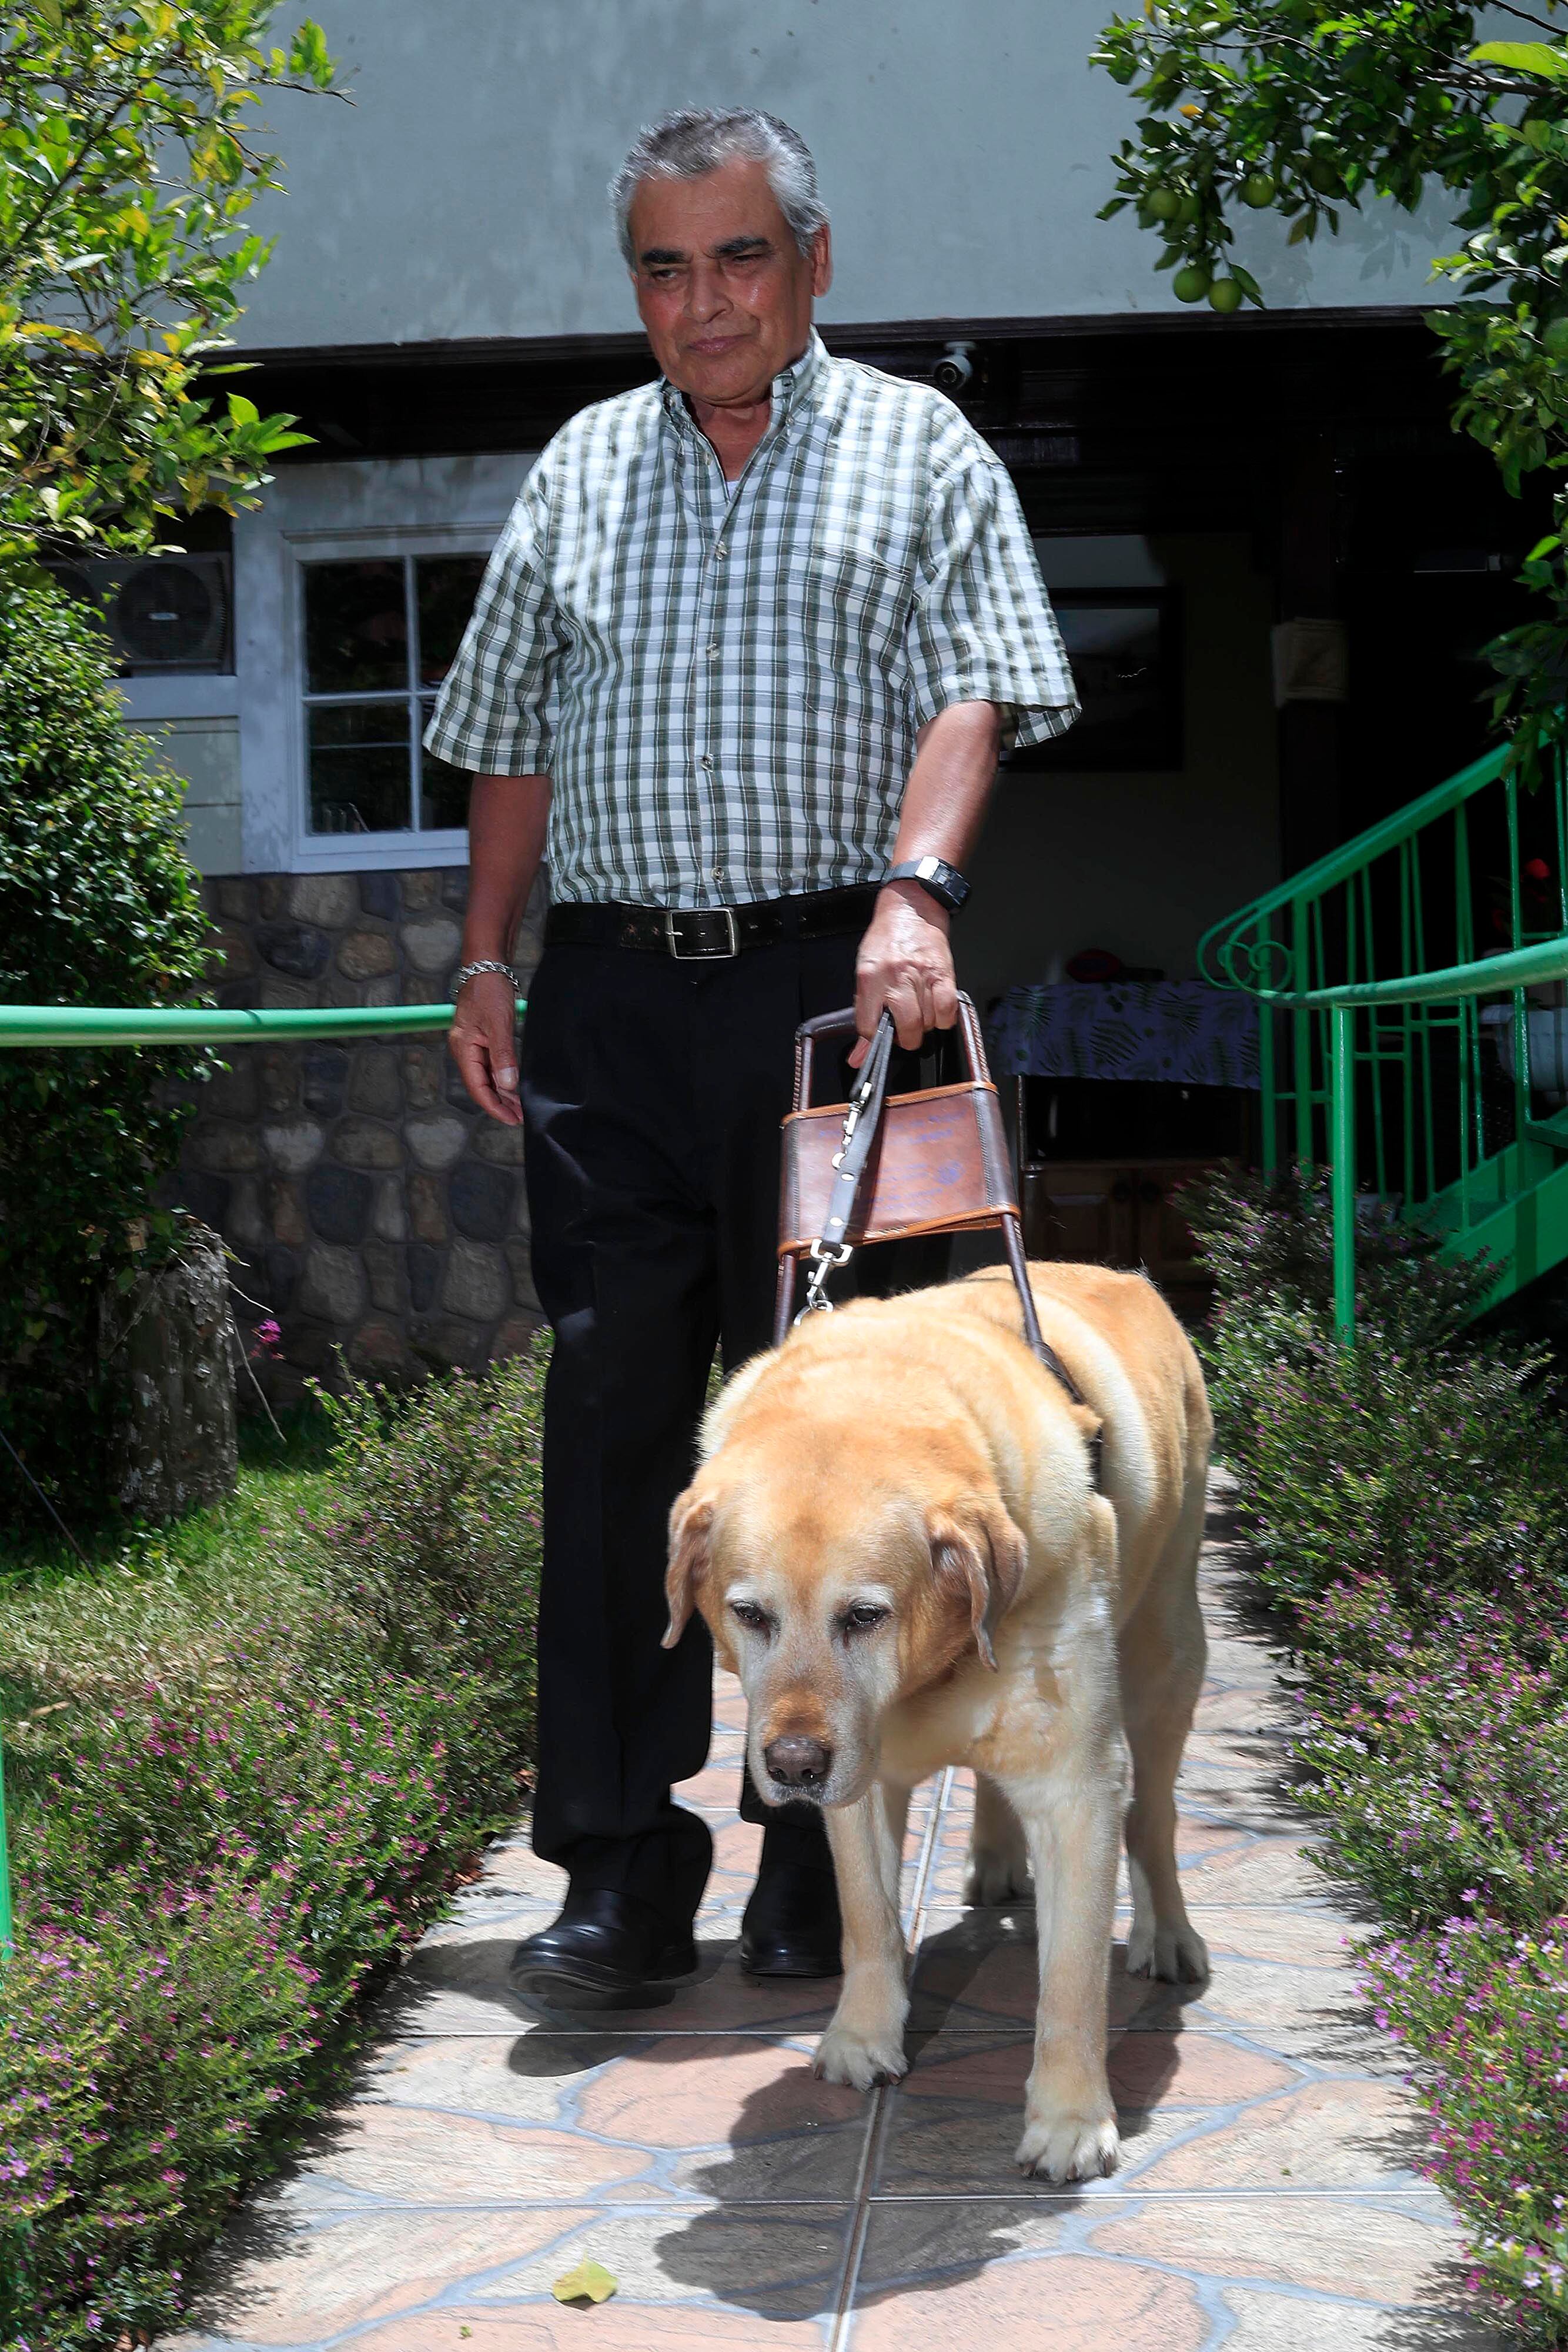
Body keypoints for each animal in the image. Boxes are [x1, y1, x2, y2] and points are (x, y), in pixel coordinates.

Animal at [663, 1259, 1212, 2183]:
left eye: (864, 1616)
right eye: (749, 1614)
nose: (793, 1765)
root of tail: (1123, 1274)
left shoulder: (1075, 1787)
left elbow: (1071, 1979)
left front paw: (1070, 2120)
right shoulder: (859, 1788)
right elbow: (868, 1920)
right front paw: (863, 2036)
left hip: (1165, 1656)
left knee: (1155, 1818)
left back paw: (1166, 1935)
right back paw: (992, 1860)